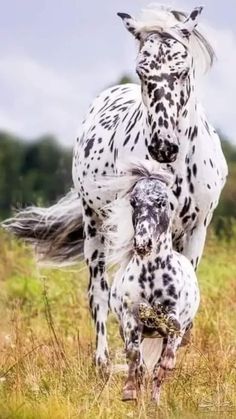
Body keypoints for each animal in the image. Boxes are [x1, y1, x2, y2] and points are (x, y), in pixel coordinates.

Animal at [2, 5, 228, 368]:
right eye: (142, 71)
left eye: (182, 71)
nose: (163, 146)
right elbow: (123, 299)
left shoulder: (196, 230)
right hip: (95, 228)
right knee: (99, 293)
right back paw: (103, 364)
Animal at [106, 161, 200, 404]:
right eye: (133, 202)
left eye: (161, 201)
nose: (143, 243)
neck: (151, 274)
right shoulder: (131, 319)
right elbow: (133, 355)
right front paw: (129, 392)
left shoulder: (173, 315)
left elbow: (171, 336)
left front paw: (166, 364)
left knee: (159, 368)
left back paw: (155, 400)